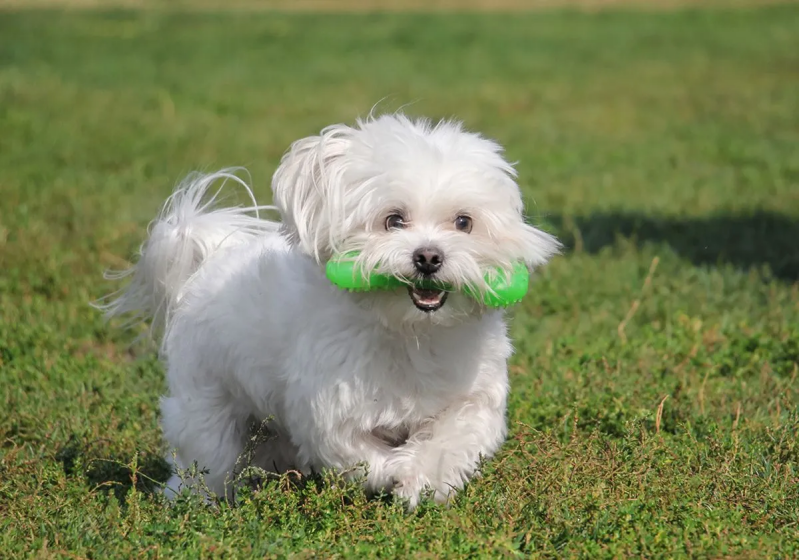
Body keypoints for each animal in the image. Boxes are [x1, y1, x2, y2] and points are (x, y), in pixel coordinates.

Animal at [99, 113, 560, 509]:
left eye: (464, 222)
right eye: (394, 220)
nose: (429, 257)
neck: (410, 331)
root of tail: (209, 259)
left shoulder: (472, 397)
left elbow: (453, 440)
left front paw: (420, 480)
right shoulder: (331, 408)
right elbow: (358, 454)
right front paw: (394, 472)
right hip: (206, 402)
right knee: (205, 457)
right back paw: (193, 502)